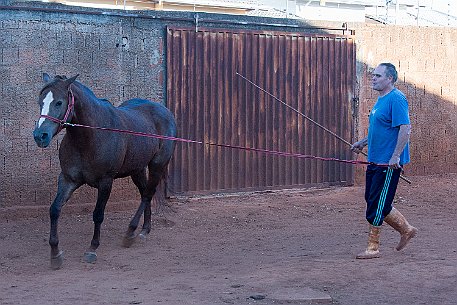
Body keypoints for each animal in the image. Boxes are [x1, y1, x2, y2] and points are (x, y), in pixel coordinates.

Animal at [32, 73, 177, 268]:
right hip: (137, 169)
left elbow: (98, 214)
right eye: (40, 101)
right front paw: (55, 254)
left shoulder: (105, 182)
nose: (40, 136)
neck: (89, 137)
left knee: (147, 194)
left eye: (59, 102)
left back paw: (130, 232)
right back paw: (144, 230)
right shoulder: (68, 179)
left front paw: (92, 249)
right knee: (144, 193)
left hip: (157, 165)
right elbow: (54, 209)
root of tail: (165, 111)